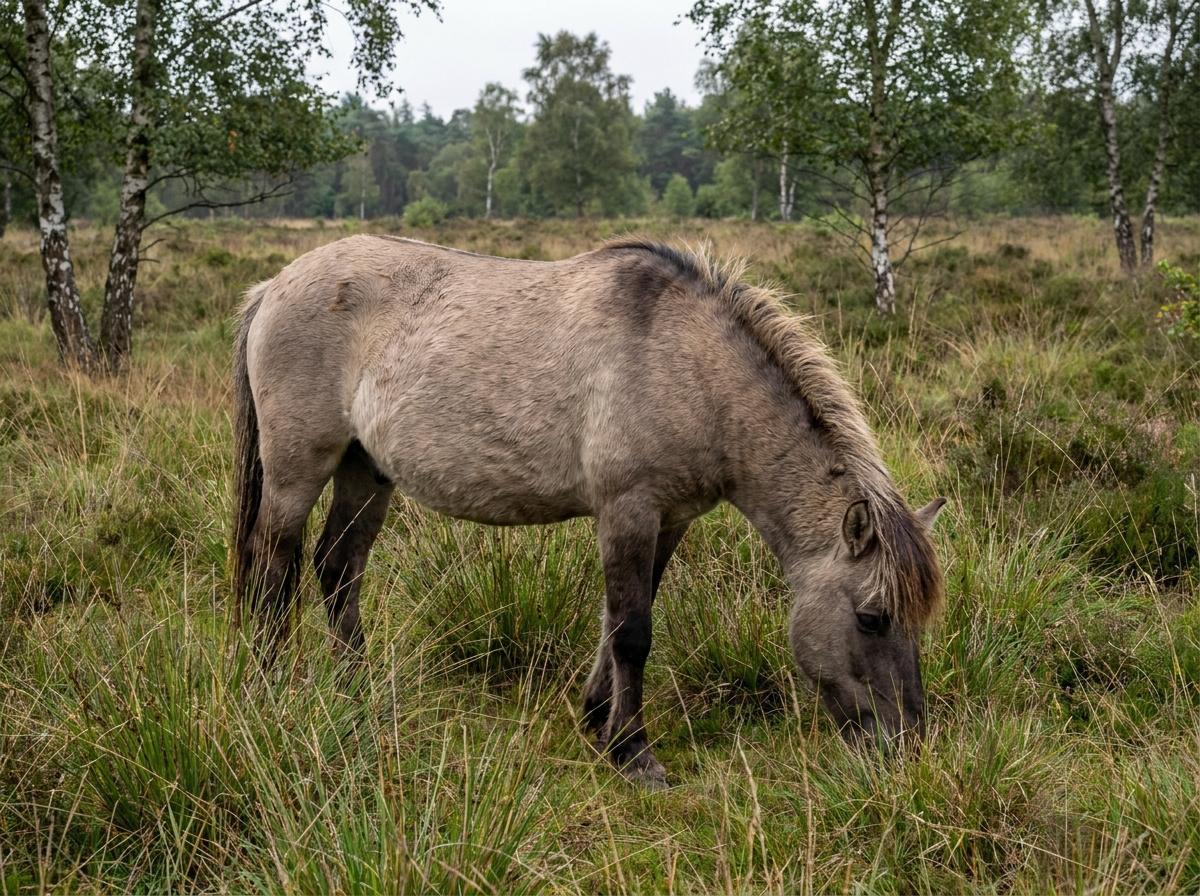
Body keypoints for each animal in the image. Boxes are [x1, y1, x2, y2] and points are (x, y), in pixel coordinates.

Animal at [231, 234, 947, 787]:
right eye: (872, 617)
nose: (907, 745)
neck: (685, 364)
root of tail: (274, 286)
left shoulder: (669, 519)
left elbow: (621, 616)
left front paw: (597, 720)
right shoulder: (628, 509)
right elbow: (633, 631)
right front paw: (635, 755)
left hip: (365, 469)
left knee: (337, 569)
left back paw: (360, 692)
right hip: (298, 470)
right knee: (274, 567)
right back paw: (273, 690)